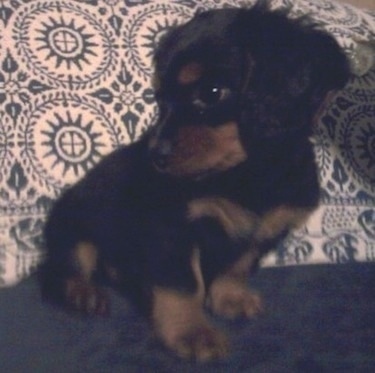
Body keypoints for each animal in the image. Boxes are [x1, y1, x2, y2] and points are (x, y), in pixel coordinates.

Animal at [39, 3, 352, 360]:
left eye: (211, 93)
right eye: (160, 98)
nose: (156, 157)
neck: (250, 172)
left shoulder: (267, 229)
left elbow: (238, 265)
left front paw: (229, 298)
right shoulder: (171, 227)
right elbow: (184, 284)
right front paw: (192, 332)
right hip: (73, 223)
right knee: (65, 265)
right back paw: (83, 292)